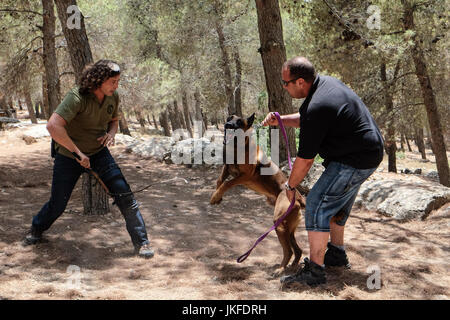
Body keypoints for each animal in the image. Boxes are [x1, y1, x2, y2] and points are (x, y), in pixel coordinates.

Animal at [211, 114, 306, 274]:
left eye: (239, 122)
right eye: (229, 118)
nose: (228, 125)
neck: (236, 147)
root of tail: (298, 197)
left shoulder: (244, 176)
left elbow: (226, 183)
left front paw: (217, 195)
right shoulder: (227, 168)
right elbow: (219, 181)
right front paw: (217, 196)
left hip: (280, 224)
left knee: (289, 251)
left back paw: (281, 268)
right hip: (288, 227)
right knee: (298, 250)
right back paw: (292, 266)